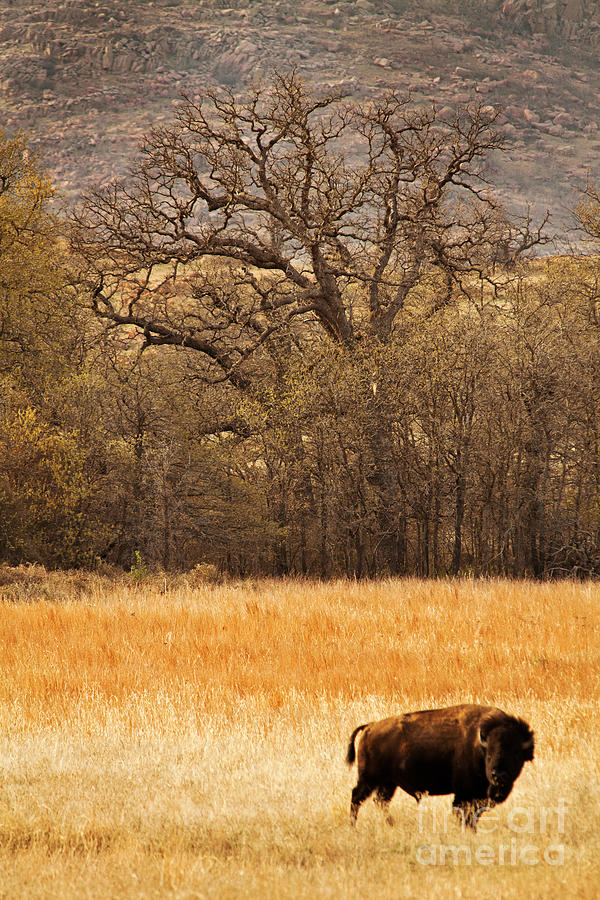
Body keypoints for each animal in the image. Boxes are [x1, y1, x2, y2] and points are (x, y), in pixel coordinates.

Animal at [346, 704, 536, 828]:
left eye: (516, 753)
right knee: (357, 798)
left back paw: (391, 824)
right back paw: (353, 826)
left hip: (388, 783)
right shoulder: (464, 794)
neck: (478, 745)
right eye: (488, 753)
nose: (498, 775)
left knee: (380, 801)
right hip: (369, 779)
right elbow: (463, 814)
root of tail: (370, 727)